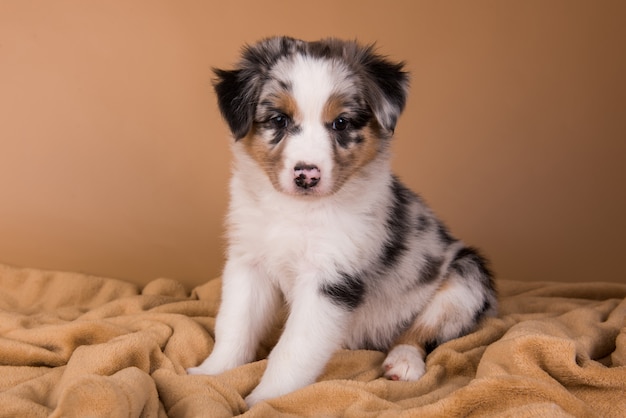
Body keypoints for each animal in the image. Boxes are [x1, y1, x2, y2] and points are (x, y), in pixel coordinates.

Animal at [185, 36, 492, 408]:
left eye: (341, 123)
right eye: (279, 120)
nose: (307, 175)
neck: (298, 210)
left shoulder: (330, 278)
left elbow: (292, 349)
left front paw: (266, 400)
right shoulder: (249, 262)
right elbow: (234, 324)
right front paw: (210, 374)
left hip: (465, 279)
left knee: (420, 331)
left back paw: (403, 362)